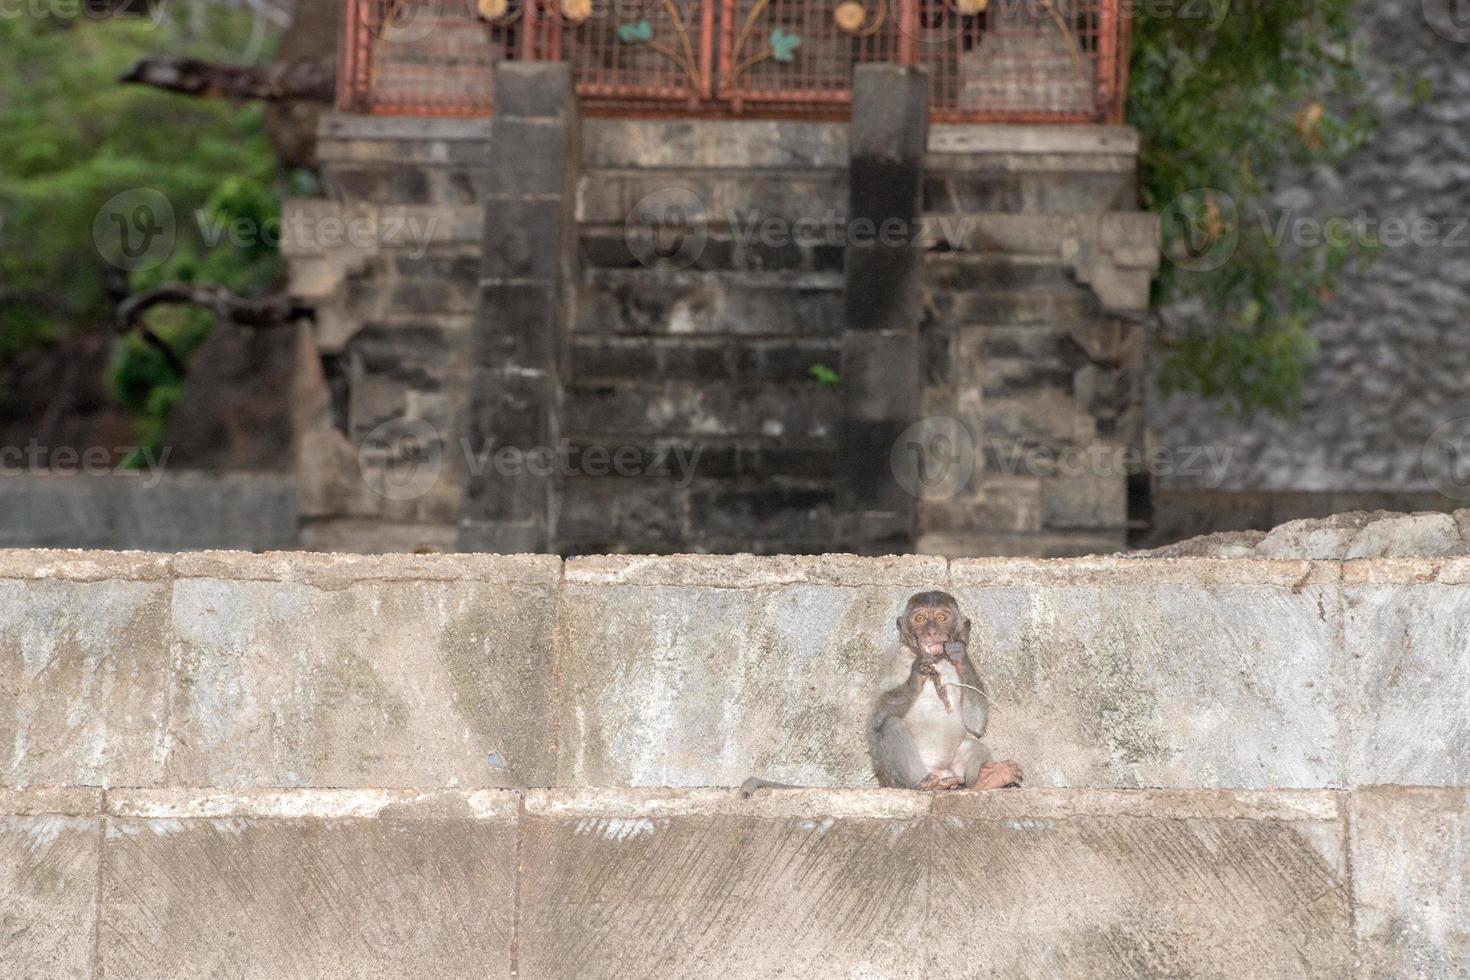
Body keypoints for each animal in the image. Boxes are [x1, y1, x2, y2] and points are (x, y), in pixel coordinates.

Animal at [864, 590, 1017, 787]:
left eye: (941, 618)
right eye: (920, 618)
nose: (931, 631)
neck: (937, 662)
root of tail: (940, 774)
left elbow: (976, 724)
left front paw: (959, 655)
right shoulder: (892, 660)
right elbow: (875, 720)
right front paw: (918, 672)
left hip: (953, 771)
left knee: (973, 745)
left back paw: (987, 779)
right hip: (898, 780)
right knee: (891, 724)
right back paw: (924, 784)